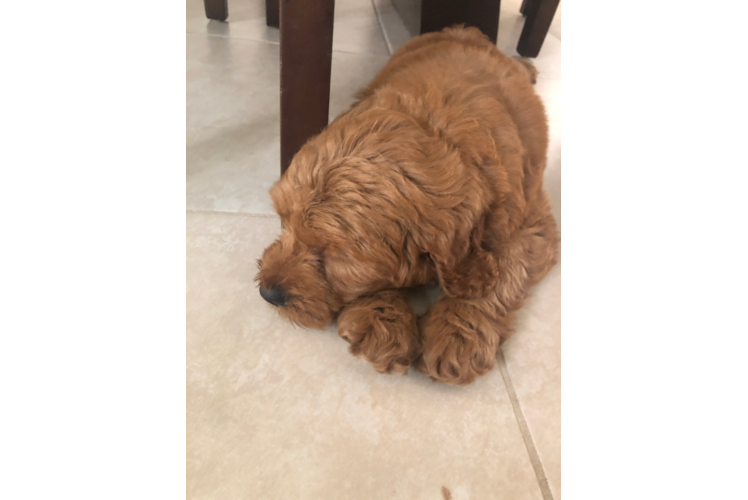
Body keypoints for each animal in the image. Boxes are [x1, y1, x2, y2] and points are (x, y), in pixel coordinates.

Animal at [256, 26, 556, 386]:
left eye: (335, 256)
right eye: (282, 221)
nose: (268, 293)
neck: (436, 125)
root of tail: (466, 30)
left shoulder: (532, 224)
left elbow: (503, 272)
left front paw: (457, 333)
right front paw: (383, 324)